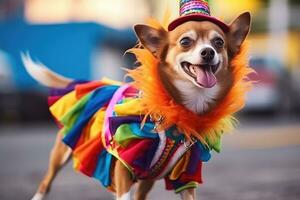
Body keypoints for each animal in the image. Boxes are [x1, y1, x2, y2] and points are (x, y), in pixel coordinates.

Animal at [24, 1, 251, 198]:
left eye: (218, 43)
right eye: (186, 42)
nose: (208, 52)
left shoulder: (185, 178)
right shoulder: (124, 164)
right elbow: (123, 193)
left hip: (147, 179)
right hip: (61, 154)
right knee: (45, 184)